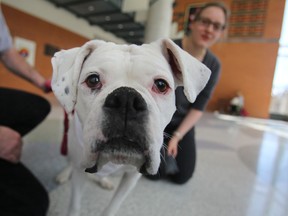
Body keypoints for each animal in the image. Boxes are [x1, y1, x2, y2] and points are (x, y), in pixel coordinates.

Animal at [50, 38, 210, 216]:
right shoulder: (79, 172)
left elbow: (113, 206)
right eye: (93, 80)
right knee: (70, 162)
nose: (126, 99)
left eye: (161, 85)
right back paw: (64, 174)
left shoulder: (131, 179)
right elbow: (75, 205)